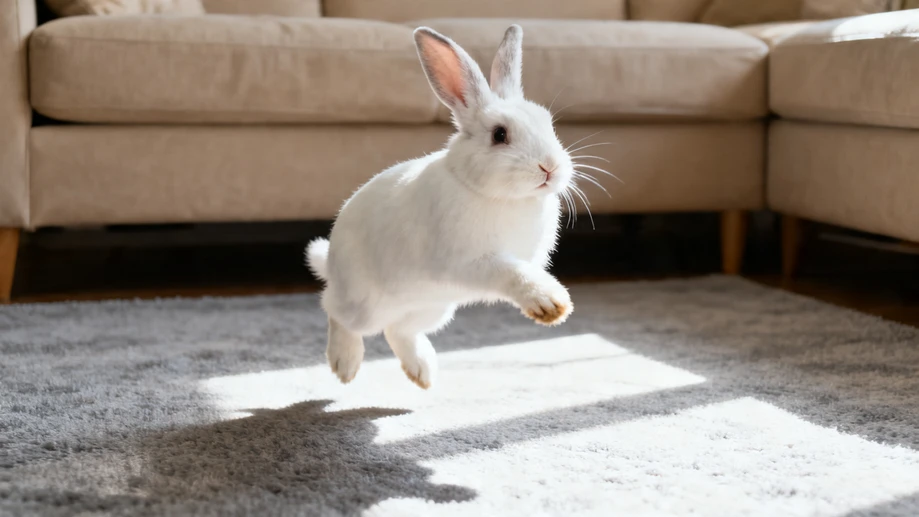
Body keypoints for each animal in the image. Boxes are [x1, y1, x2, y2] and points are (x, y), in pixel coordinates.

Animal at [306, 24, 579, 390]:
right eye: (499, 134)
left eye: (548, 124)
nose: (549, 167)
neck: (502, 197)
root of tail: (332, 264)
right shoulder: (470, 261)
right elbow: (512, 272)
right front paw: (550, 303)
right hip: (363, 304)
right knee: (335, 311)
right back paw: (345, 364)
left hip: (432, 308)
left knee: (398, 330)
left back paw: (422, 373)